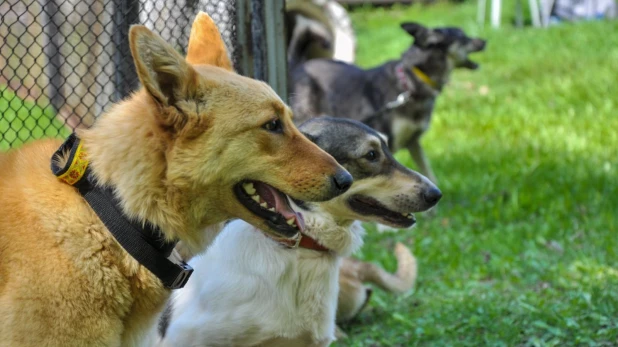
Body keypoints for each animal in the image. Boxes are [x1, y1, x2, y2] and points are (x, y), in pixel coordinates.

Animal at [288, 21, 486, 185]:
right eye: (462, 36)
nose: (484, 40)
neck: (409, 82)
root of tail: (297, 65)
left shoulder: (413, 142)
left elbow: (429, 175)